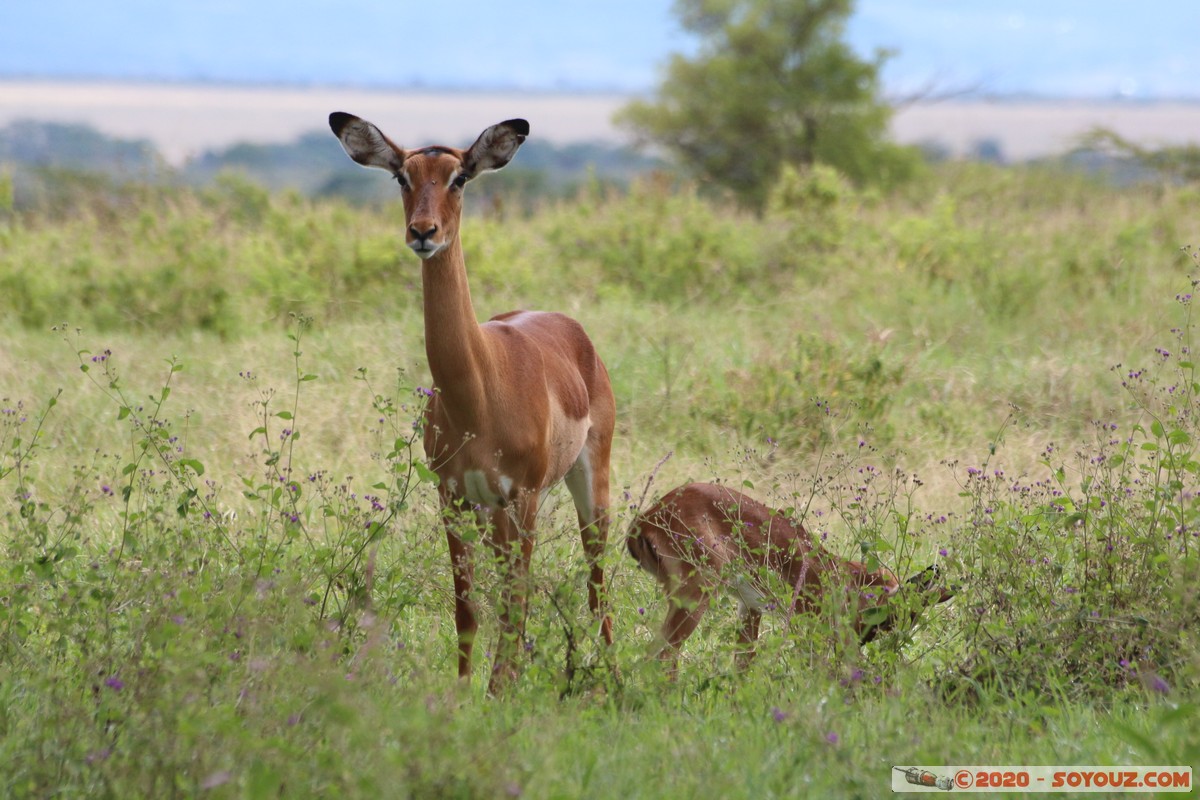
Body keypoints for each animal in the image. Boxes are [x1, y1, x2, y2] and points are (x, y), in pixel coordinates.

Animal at [328, 112, 614, 695]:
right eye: (402, 177)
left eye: (459, 177)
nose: (423, 232)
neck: (479, 394)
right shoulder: (453, 498)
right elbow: (468, 609)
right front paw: (464, 694)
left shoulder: (522, 496)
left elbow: (516, 601)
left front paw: (501, 692)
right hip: (492, 515)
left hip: (586, 482)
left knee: (597, 584)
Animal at [628, 484, 955, 671]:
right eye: (894, 617)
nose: (867, 638)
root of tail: (645, 520)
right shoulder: (821, 628)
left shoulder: (750, 607)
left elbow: (742, 665)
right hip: (696, 594)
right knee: (659, 656)